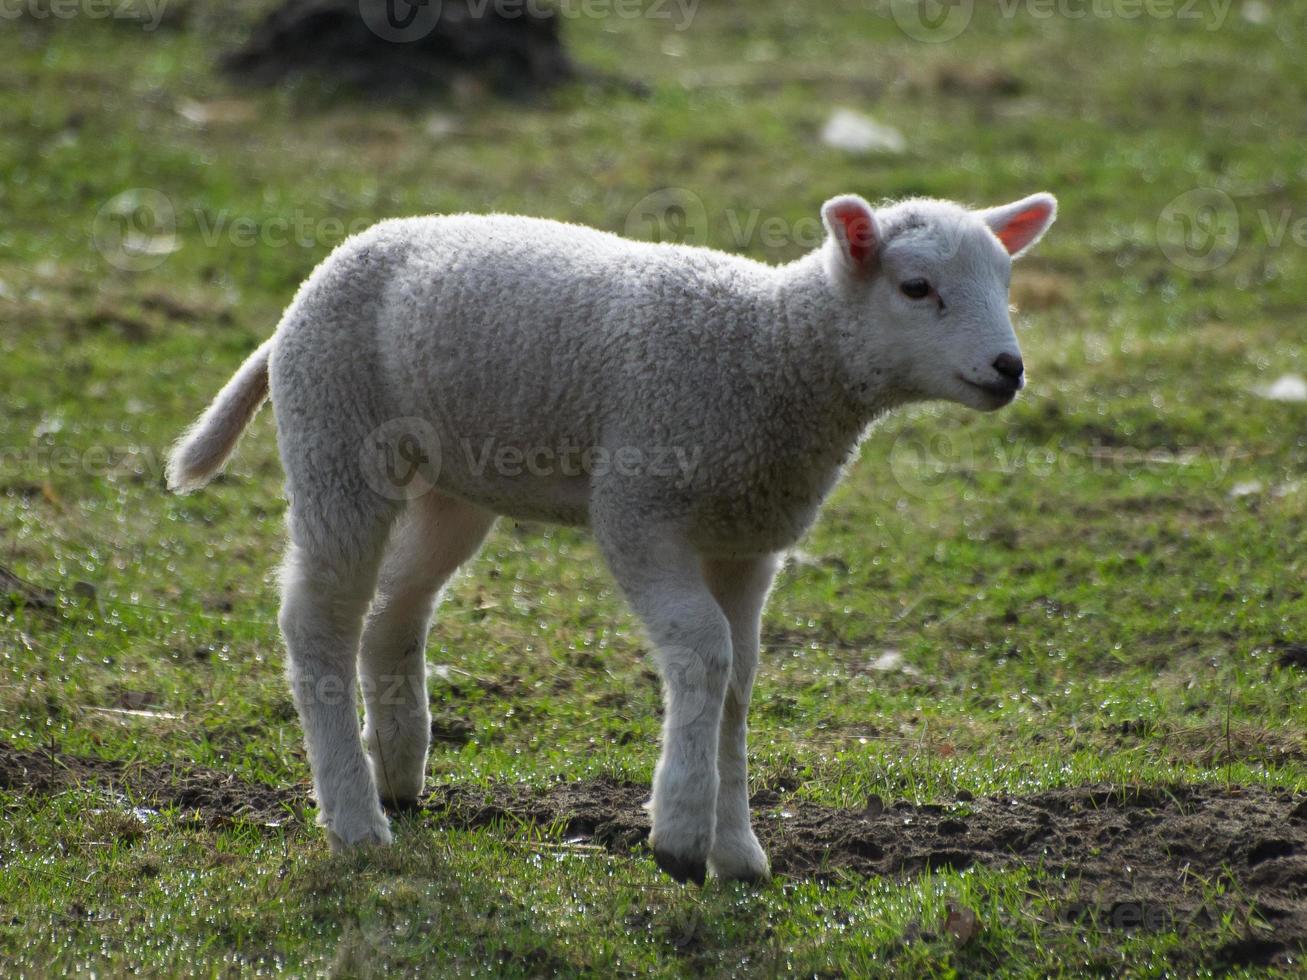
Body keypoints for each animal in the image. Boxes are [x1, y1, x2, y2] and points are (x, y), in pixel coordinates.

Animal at [168, 188, 1056, 888]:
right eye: (916, 287)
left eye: (1004, 282)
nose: (1007, 368)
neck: (774, 351)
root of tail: (306, 292)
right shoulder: (637, 508)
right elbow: (703, 651)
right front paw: (680, 834)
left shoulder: (748, 540)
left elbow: (739, 681)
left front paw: (736, 849)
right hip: (336, 434)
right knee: (318, 618)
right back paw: (355, 820)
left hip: (456, 480)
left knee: (396, 610)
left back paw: (398, 768)